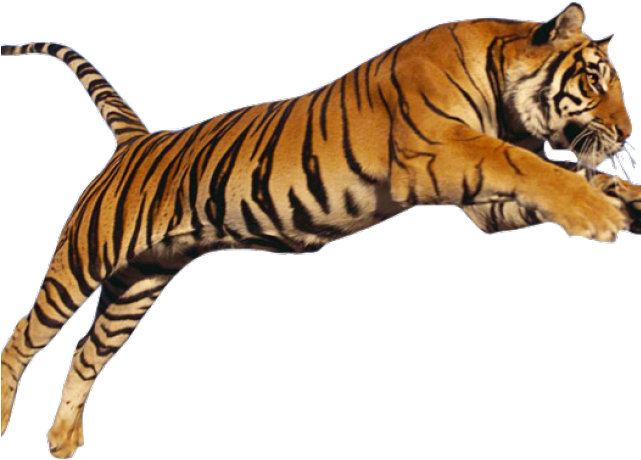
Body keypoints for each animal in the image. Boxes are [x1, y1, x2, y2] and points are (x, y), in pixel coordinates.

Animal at [1, 3, 640, 458]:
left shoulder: (486, 206)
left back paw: (62, 441)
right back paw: (4, 428)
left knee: (86, 351)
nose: (628, 133)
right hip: (81, 262)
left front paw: (626, 200)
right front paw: (598, 214)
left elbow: (565, 177)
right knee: (20, 339)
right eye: (594, 81)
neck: (504, 95)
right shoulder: (445, 152)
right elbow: (533, 168)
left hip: (137, 283)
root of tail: (136, 138)